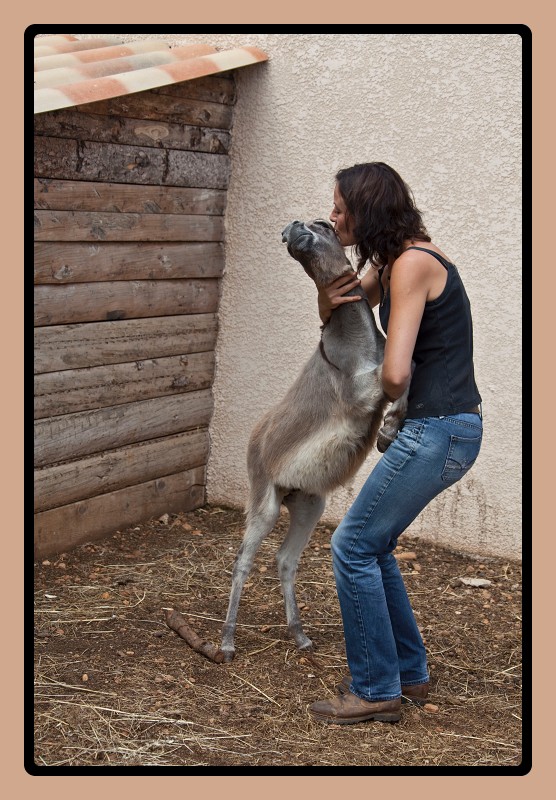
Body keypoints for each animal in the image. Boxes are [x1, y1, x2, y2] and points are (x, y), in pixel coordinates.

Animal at [220, 219, 408, 664]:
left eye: (323, 224)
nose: (290, 229)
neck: (358, 344)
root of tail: (255, 438)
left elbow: (404, 380)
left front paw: (389, 432)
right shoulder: (361, 394)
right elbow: (398, 376)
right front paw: (388, 430)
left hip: (309, 505)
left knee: (285, 560)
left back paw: (299, 635)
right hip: (265, 504)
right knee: (242, 561)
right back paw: (227, 641)